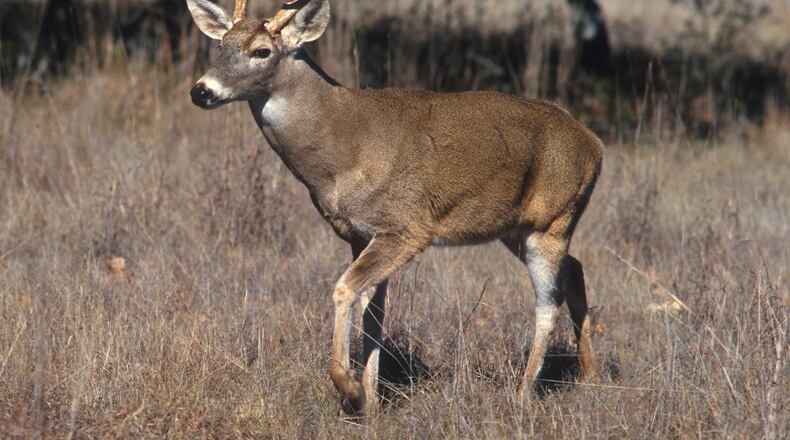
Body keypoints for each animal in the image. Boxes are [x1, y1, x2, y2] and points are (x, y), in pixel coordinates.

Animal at [186, 0, 603, 416]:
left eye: (261, 51)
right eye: (221, 44)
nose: (201, 90)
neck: (343, 149)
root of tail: (594, 144)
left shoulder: (405, 228)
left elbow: (345, 289)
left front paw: (350, 389)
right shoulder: (359, 234)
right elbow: (374, 311)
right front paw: (371, 401)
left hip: (553, 221)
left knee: (547, 304)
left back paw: (522, 394)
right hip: (516, 229)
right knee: (575, 269)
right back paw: (589, 376)